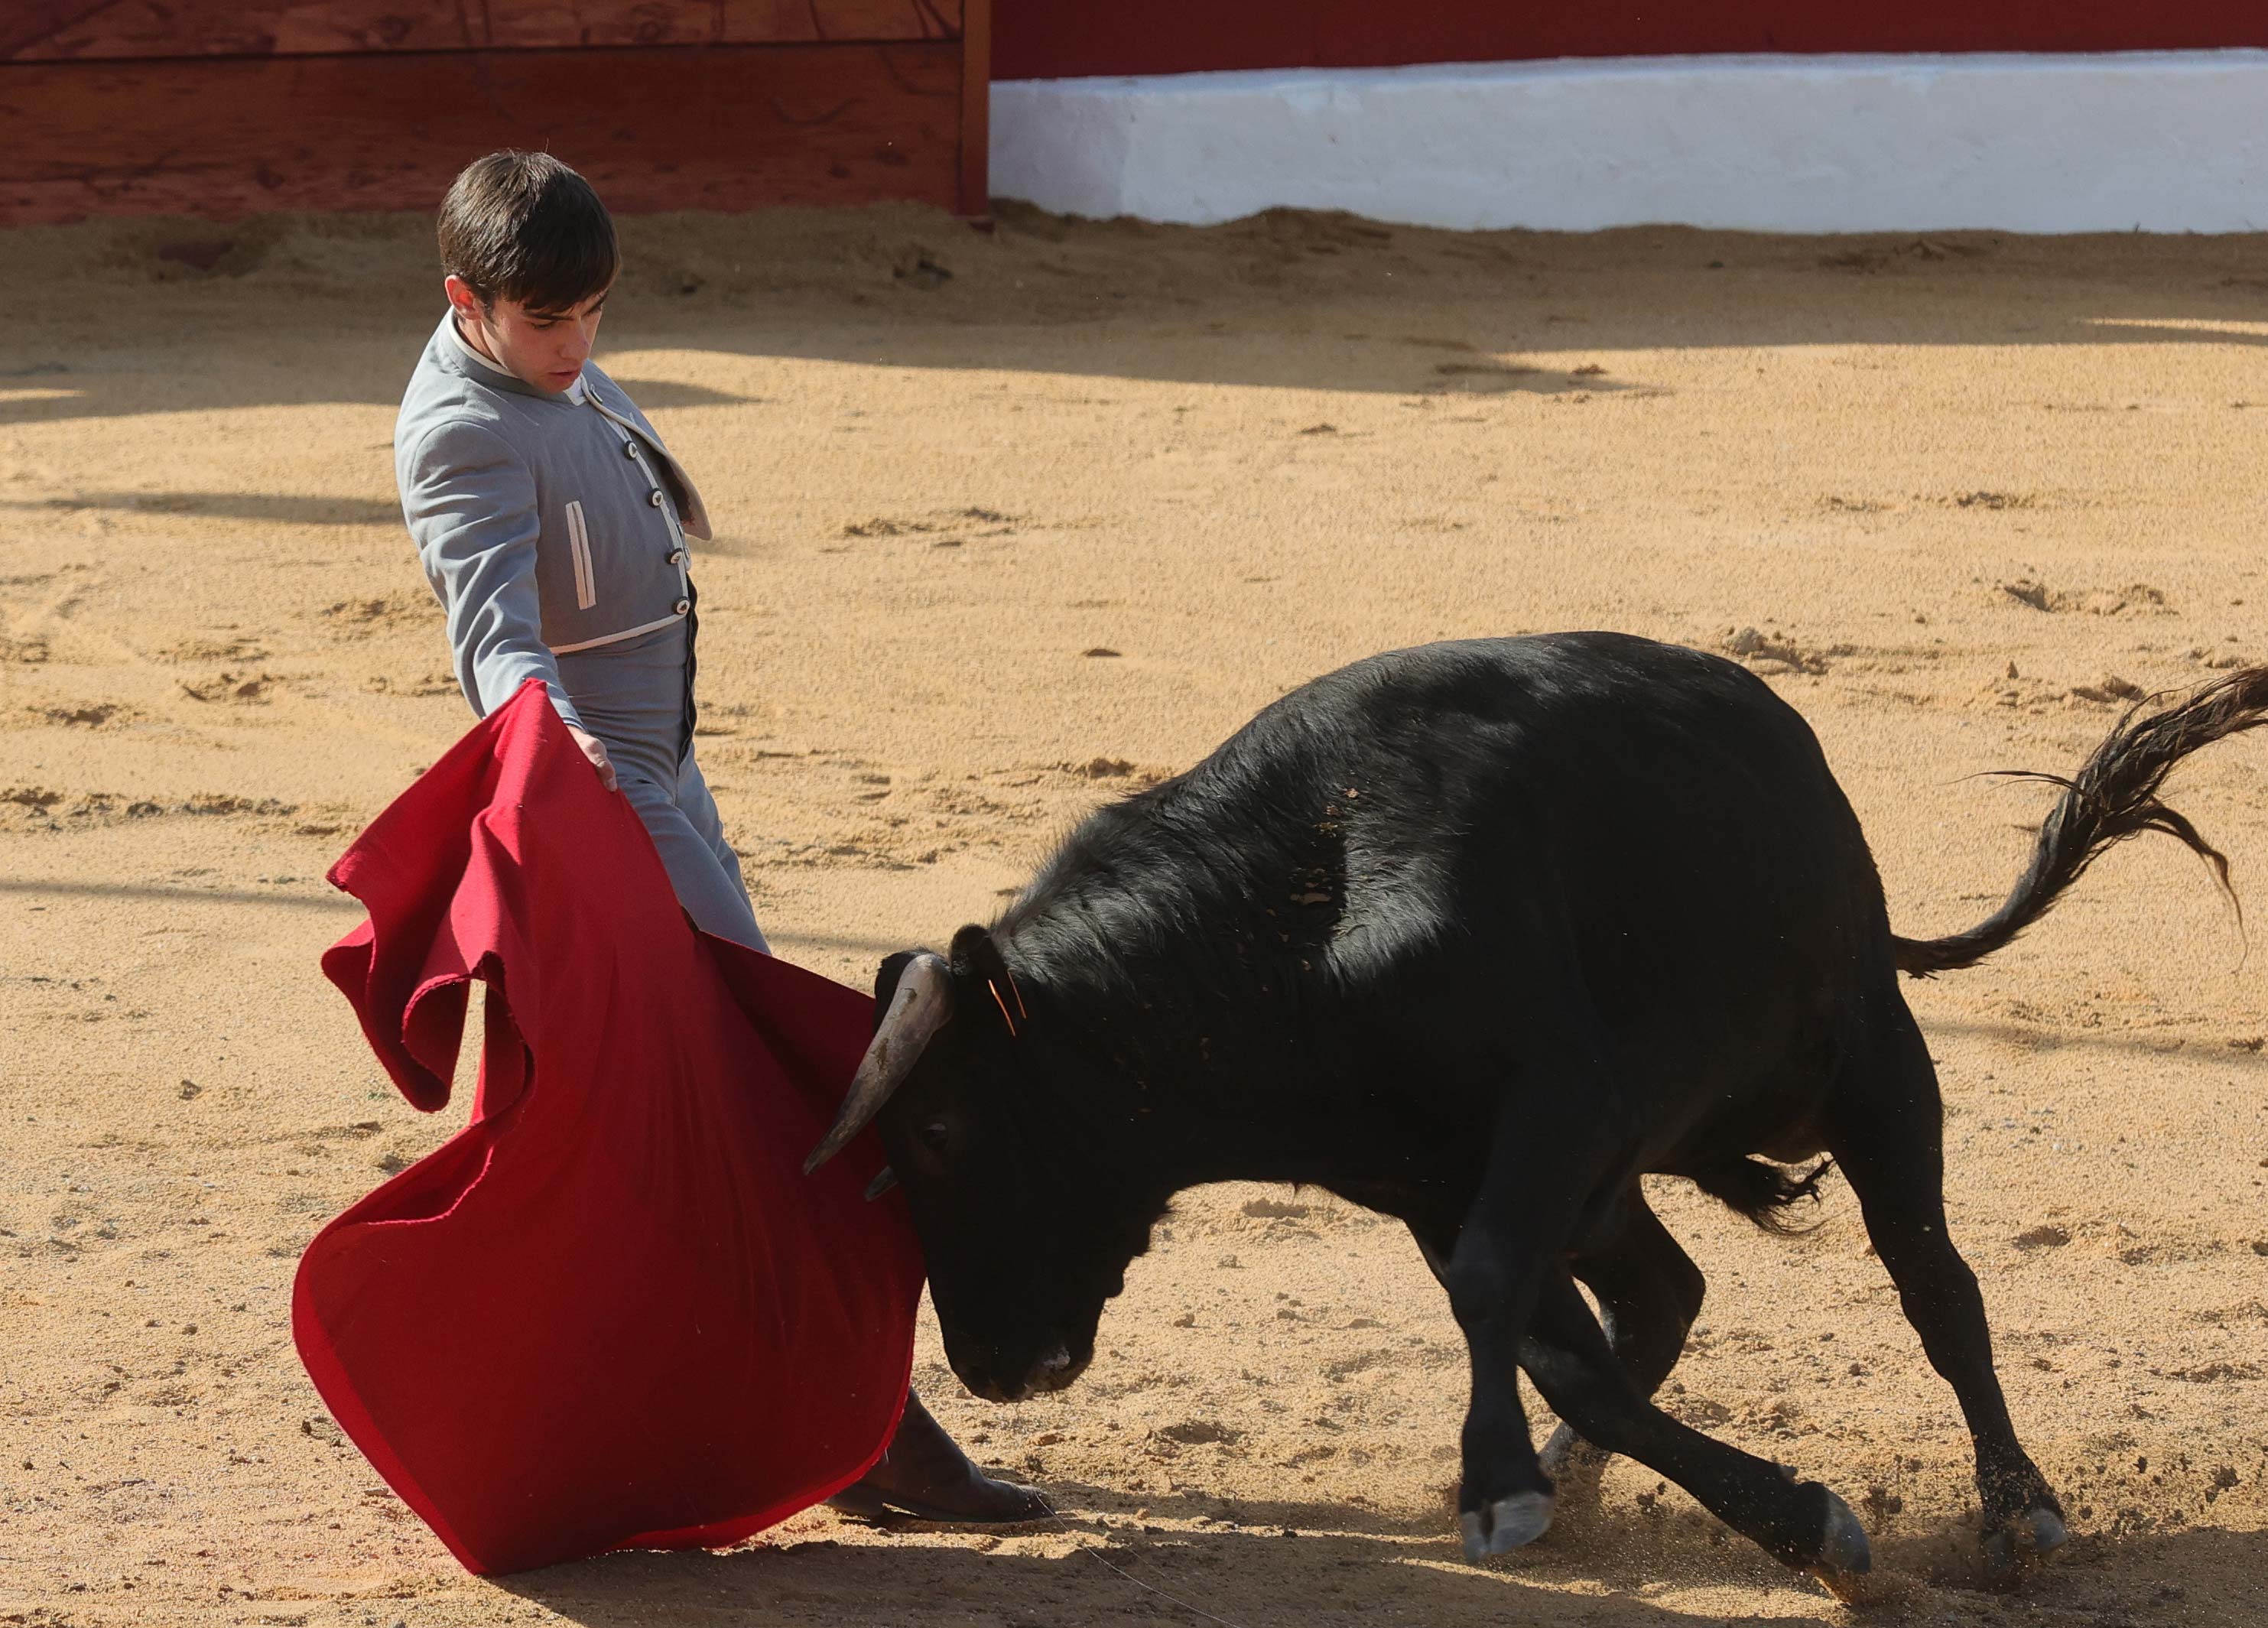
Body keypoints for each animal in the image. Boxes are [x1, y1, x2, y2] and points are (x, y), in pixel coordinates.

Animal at [807, 635, 2259, 1596]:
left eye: (936, 1131)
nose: (990, 1364)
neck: (1292, 916)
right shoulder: (1438, 1179)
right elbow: (1554, 1345)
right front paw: (1783, 1519)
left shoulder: (1558, 1109)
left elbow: (1503, 1291)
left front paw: (1502, 1491)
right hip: (1634, 1171)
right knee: (1661, 1298)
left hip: (1873, 1065)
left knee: (1935, 1284)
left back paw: (2022, 1513)